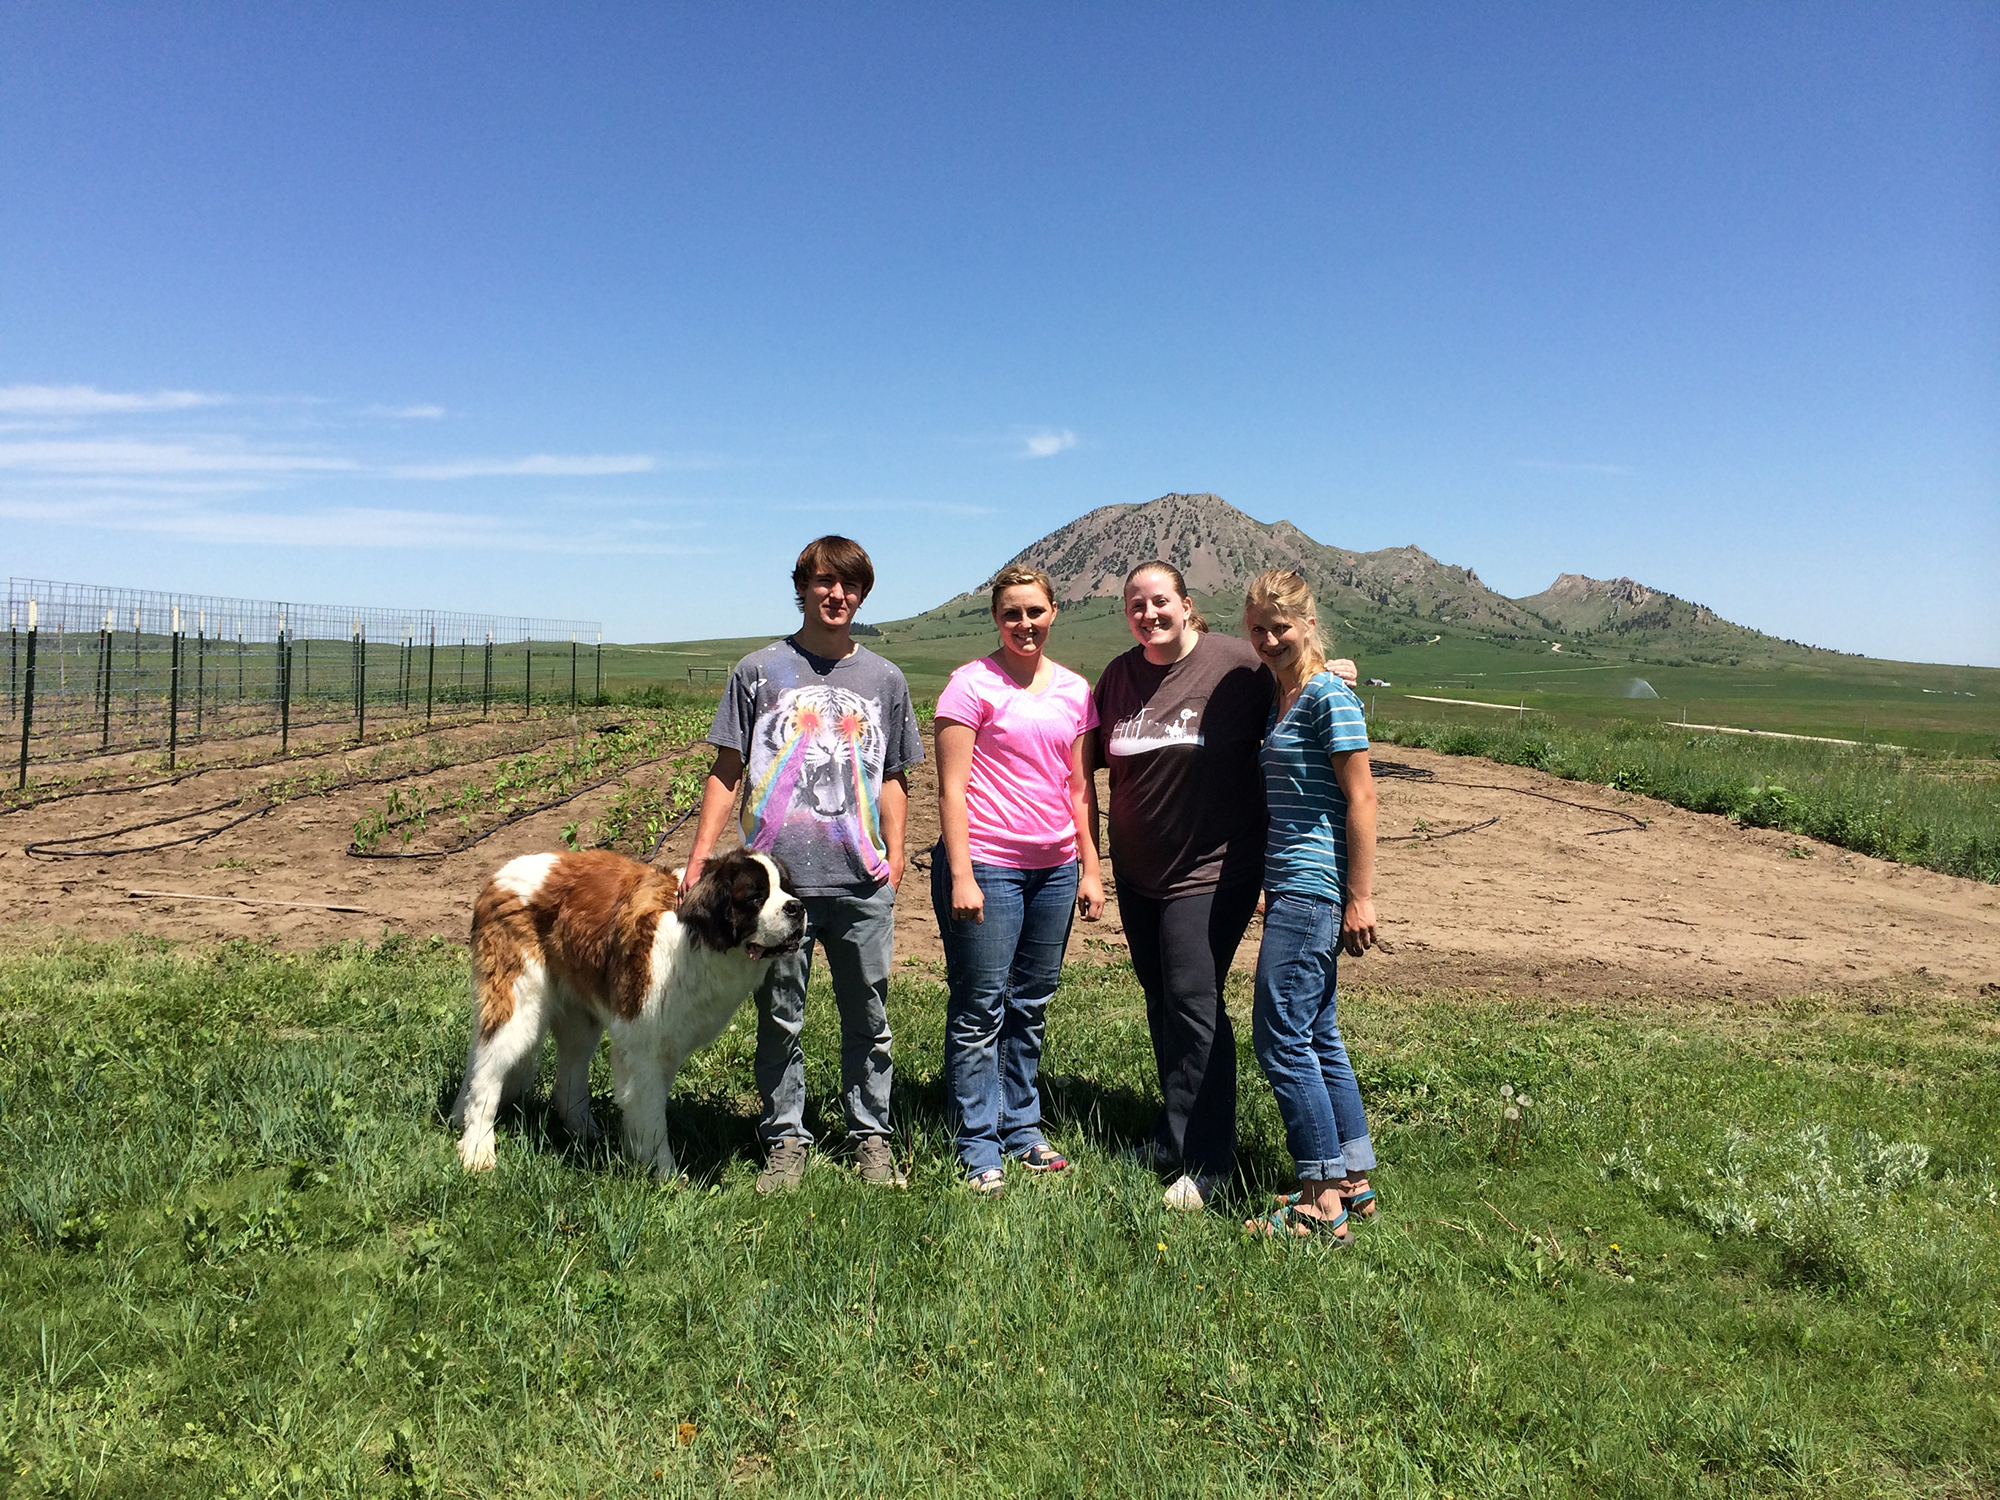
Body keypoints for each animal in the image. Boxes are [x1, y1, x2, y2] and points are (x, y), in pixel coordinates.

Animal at [450, 848, 800, 1184]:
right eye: (755, 895)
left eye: (786, 888)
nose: (797, 907)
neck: (696, 941)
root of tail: (496, 878)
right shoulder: (643, 1046)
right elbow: (652, 1114)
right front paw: (666, 1175)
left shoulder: (667, 1045)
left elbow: (645, 1109)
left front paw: (640, 1157)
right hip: (519, 1005)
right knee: (487, 1072)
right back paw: (477, 1150)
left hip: (579, 1016)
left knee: (562, 1075)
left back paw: (583, 1132)